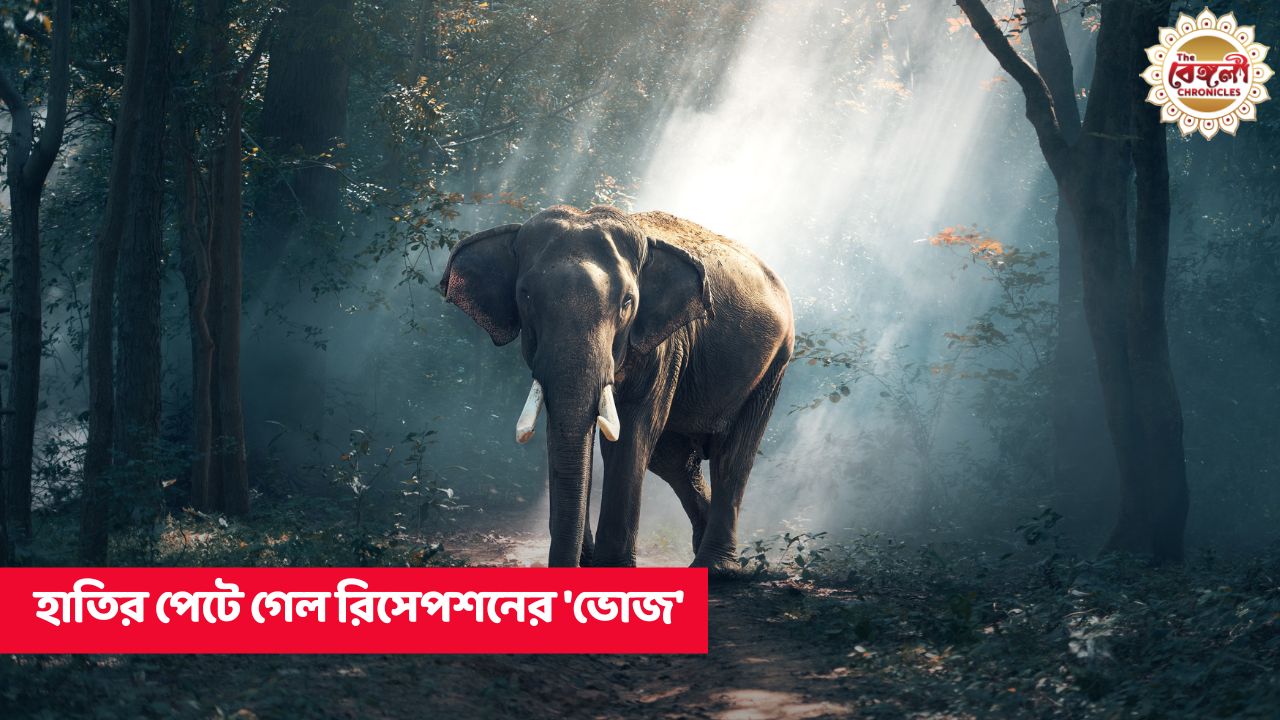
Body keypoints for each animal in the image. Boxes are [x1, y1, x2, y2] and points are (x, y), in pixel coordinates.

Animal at [439, 205, 793, 574]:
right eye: (526, 296)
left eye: (627, 302)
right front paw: (589, 560)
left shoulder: (664, 345)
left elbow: (631, 434)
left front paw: (610, 567)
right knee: (675, 460)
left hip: (774, 364)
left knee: (732, 456)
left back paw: (716, 568)